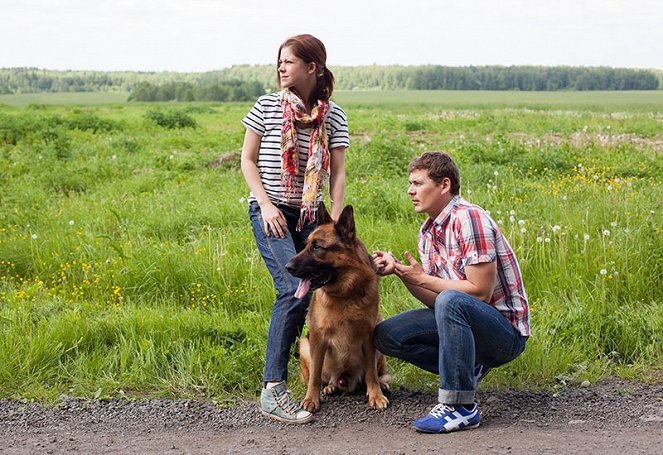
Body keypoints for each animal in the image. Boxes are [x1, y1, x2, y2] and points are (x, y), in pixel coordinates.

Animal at [284, 205, 390, 412]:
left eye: (317, 247)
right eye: (306, 245)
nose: (287, 266)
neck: (346, 295)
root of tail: (345, 380)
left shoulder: (369, 336)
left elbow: (371, 372)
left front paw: (375, 395)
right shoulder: (318, 339)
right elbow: (315, 376)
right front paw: (311, 399)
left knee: (375, 373)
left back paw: (381, 384)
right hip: (305, 345)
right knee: (322, 377)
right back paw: (330, 387)